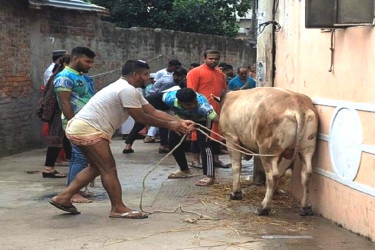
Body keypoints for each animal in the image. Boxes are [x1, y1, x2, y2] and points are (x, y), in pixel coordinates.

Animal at [219, 87, 318, 216]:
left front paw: (236, 193)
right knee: (306, 174)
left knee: (272, 176)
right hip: (307, 149)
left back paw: (264, 207)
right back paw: (306, 208)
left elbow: (236, 166)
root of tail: (297, 105)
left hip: (267, 151)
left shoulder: (231, 138)